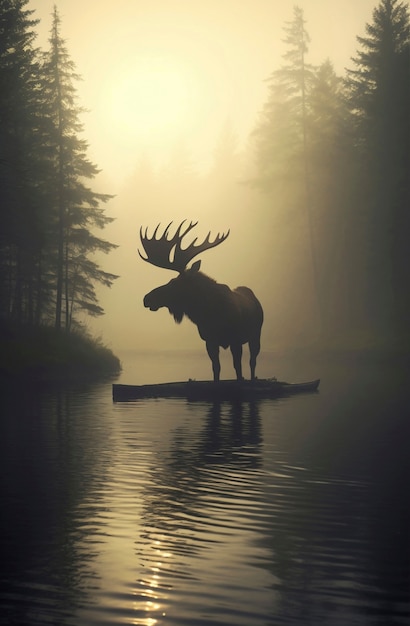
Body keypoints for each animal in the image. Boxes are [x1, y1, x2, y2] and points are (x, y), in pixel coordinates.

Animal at [139, 222, 264, 382]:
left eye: (174, 283)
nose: (146, 298)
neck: (208, 314)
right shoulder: (209, 341)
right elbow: (216, 369)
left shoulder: (235, 340)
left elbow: (238, 370)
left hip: (256, 334)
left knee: (253, 361)